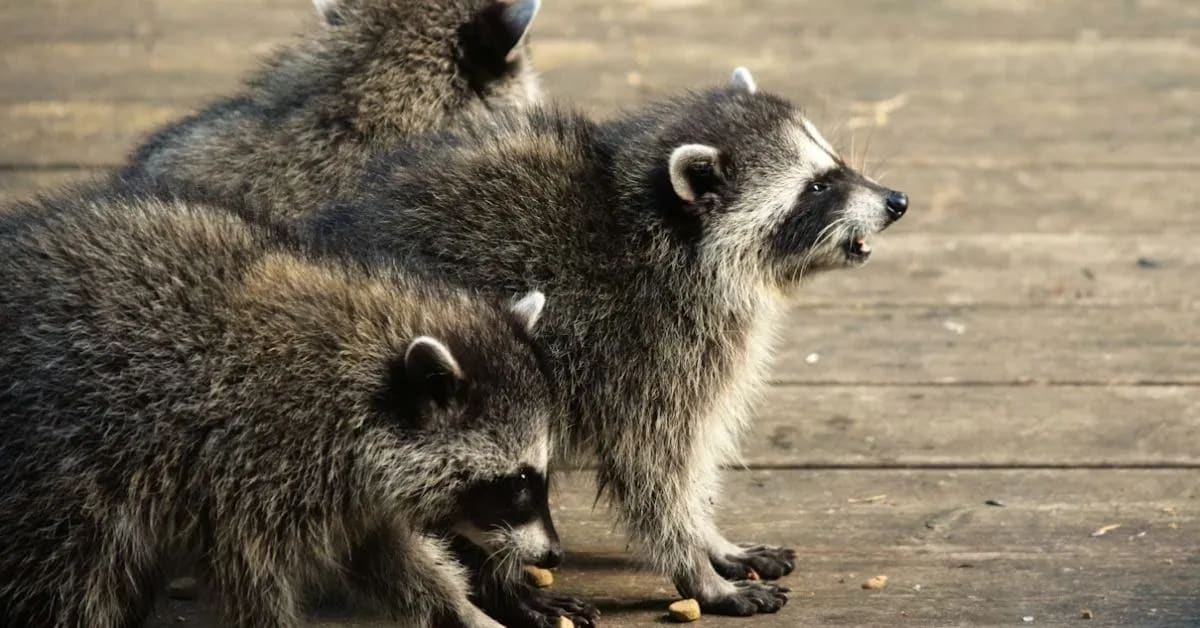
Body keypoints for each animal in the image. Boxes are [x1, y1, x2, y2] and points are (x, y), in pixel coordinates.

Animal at [0, 189, 562, 628]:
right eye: (518, 483)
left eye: (540, 475)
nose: (554, 554)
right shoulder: (252, 464)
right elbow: (251, 575)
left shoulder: (346, 488)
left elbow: (382, 553)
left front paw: (460, 608)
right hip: (55, 464)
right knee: (68, 576)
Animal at [309, 68, 909, 616]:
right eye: (817, 187)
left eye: (833, 165)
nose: (896, 200)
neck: (668, 231)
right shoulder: (645, 344)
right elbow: (652, 468)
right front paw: (698, 569)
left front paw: (712, 538)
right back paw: (507, 589)